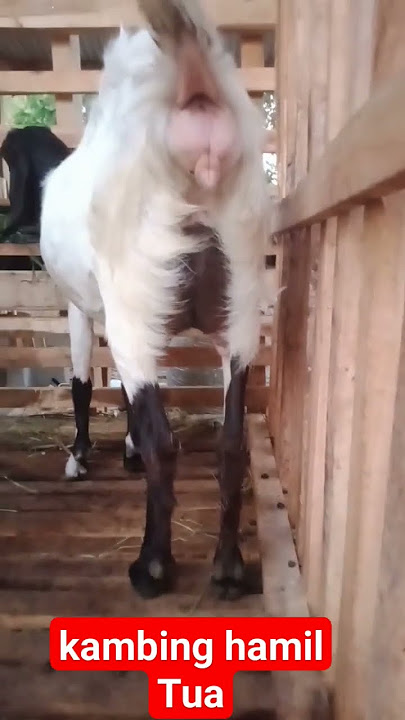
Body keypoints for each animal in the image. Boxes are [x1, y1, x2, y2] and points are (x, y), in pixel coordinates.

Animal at [40, 0, 270, 601]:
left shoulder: (84, 308)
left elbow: (82, 382)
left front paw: (81, 457)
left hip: (134, 302)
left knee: (164, 446)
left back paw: (152, 566)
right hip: (239, 304)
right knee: (230, 443)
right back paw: (228, 568)